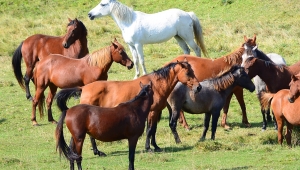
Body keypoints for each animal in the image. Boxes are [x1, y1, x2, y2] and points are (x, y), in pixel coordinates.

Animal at [55, 57, 202, 152]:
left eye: (193, 71)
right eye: (188, 72)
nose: (198, 87)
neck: (155, 86)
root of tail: (83, 88)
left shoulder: (156, 112)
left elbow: (153, 130)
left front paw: (156, 147)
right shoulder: (152, 112)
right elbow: (149, 130)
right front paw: (148, 148)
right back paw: (96, 152)